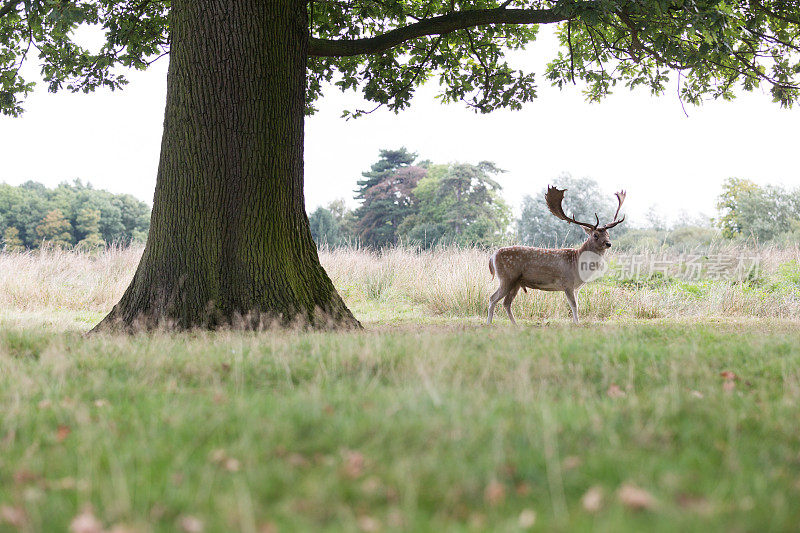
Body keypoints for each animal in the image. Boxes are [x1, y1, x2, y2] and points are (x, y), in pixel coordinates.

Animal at [484, 185, 628, 322]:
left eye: (608, 234)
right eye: (595, 235)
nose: (608, 244)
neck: (578, 264)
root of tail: (492, 256)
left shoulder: (576, 288)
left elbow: (577, 306)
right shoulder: (567, 284)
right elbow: (574, 306)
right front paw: (577, 324)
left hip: (516, 283)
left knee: (506, 303)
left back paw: (515, 324)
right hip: (506, 278)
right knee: (492, 298)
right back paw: (489, 323)